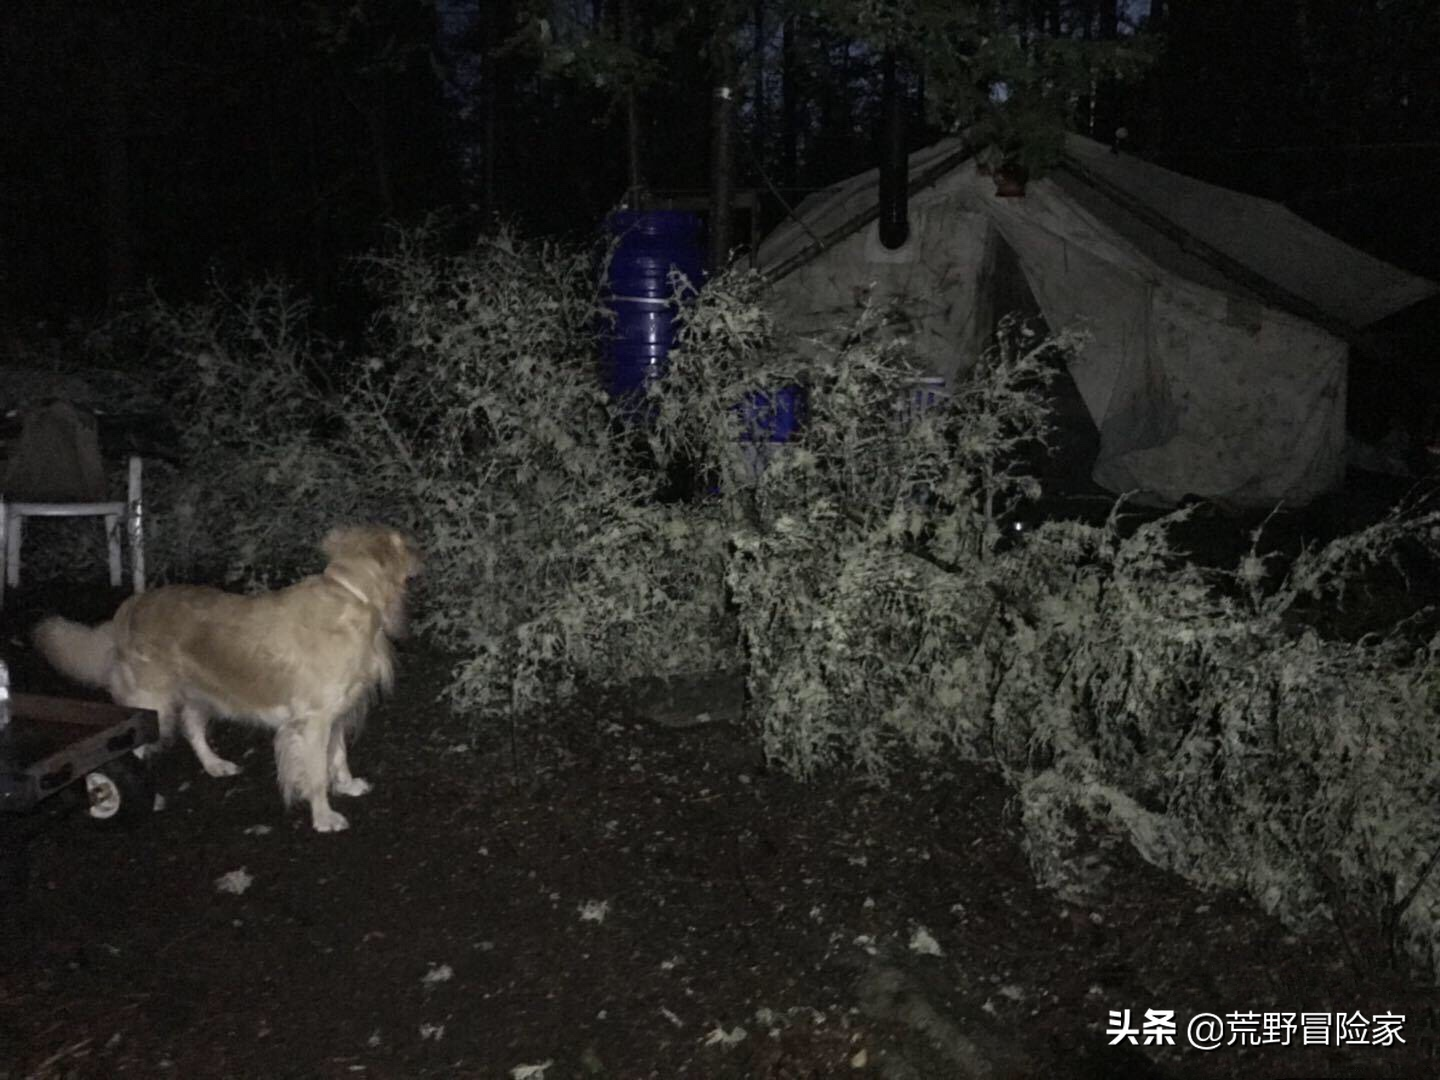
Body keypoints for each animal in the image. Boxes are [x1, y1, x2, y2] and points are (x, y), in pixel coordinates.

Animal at [32, 529, 420, 835]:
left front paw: (348, 784)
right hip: (152, 703)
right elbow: (316, 772)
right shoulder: (314, 719)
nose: (424, 556)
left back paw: (215, 765)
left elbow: (337, 755)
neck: (355, 598)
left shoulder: (337, 711)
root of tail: (129, 607)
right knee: (127, 748)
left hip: (197, 694)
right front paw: (324, 817)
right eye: (405, 544)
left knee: (192, 729)